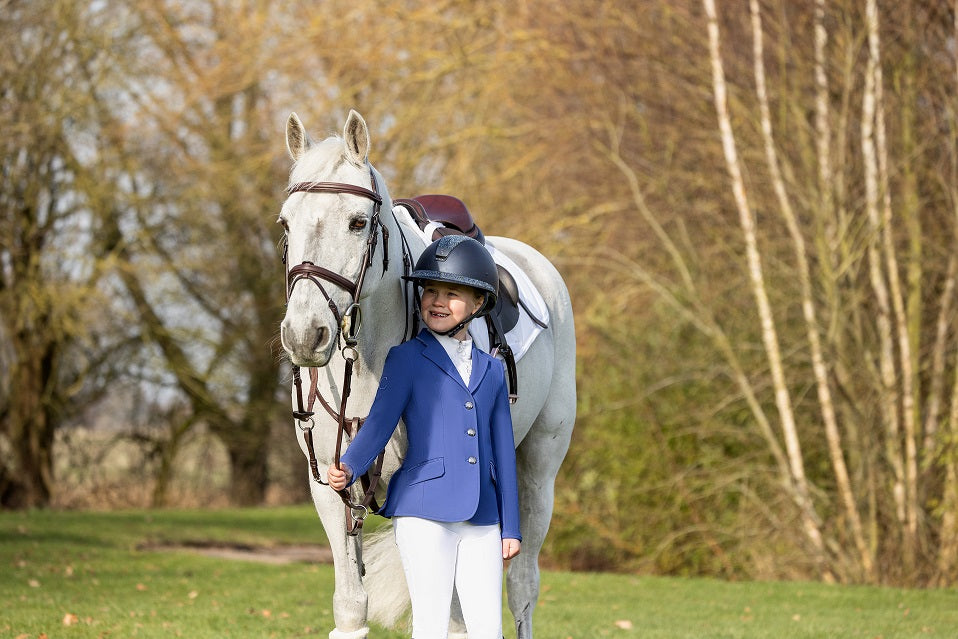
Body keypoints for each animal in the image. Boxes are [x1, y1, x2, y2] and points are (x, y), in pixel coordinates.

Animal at [279, 109, 576, 639]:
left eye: (357, 223)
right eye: (286, 224)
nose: (303, 335)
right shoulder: (332, 491)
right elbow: (352, 607)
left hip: (539, 471)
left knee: (522, 587)